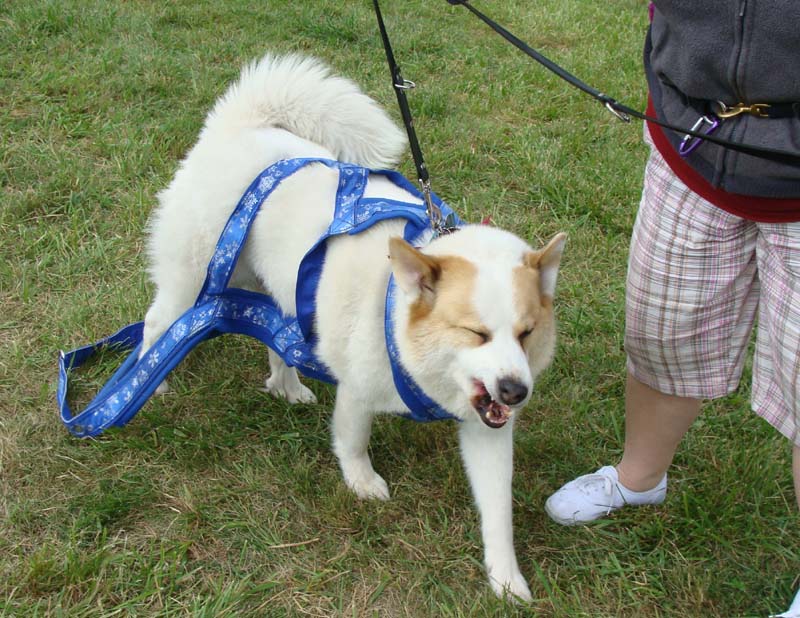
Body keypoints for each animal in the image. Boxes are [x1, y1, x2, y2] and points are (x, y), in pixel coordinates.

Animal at [145, 53, 568, 596]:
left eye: (527, 333)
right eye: (476, 333)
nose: (516, 392)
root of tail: (240, 125)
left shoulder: (487, 429)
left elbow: (497, 508)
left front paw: (506, 579)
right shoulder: (358, 390)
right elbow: (352, 442)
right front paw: (361, 483)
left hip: (277, 289)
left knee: (276, 339)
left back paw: (286, 385)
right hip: (190, 281)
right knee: (155, 324)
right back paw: (152, 380)